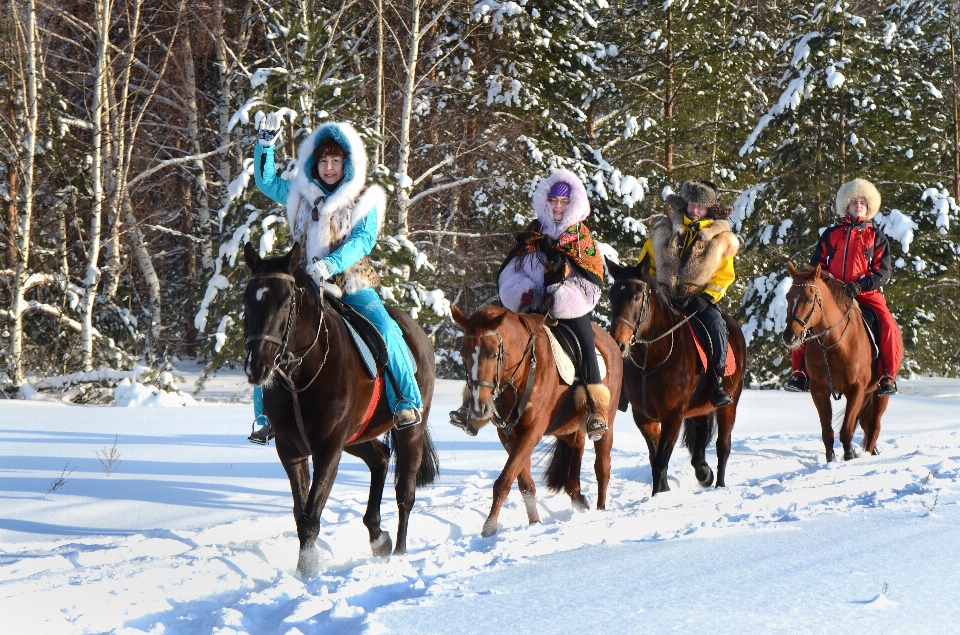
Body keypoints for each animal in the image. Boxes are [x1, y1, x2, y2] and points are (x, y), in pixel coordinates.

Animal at [240, 243, 438, 576]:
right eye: (246, 300)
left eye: (284, 301)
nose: (257, 367)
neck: (301, 374)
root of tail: (419, 333)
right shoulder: (290, 450)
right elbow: (301, 514)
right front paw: (304, 571)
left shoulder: (329, 447)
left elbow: (311, 516)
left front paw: (306, 572)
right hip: (356, 437)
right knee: (380, 458)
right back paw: (377, 536)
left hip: (408, 432)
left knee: (405, 495)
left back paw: (399, 553)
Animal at [450, 306, 624, 540]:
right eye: (464, 355)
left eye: (494, 353)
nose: (480, 408)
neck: (523, 371)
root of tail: (612, 343)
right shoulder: (508, 434)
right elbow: (524, 482)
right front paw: (534, 522)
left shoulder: (531, 430)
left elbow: (504, 480)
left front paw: (489, 527)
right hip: (568, 430)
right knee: (575, 458)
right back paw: (579, 499)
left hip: (607, 424)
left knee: (602, 468)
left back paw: (600, 509)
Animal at [608, 258, 752, 496]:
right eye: (611, 296)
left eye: (637, 296)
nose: (618, 344)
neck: (653, 357)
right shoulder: (644, 417)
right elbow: (655, 458)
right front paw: (663, 491)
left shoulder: (672, 415)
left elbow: (660, 461)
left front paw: (659, 495)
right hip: (698, 408)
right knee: (700, 436)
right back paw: (703, 472)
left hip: (728, 406)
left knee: (723, 446)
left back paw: (719, 484)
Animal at [780, 262, 892, 462]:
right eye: (788, 297)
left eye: (809, 299)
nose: (790, 337)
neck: (834, 344)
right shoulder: (818, 389)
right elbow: (827, 431)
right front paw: (830, 459)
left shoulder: (856, 389)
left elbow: (846, 430)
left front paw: (849, 456)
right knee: (866, 424)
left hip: (879, 394)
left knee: (873, 426)